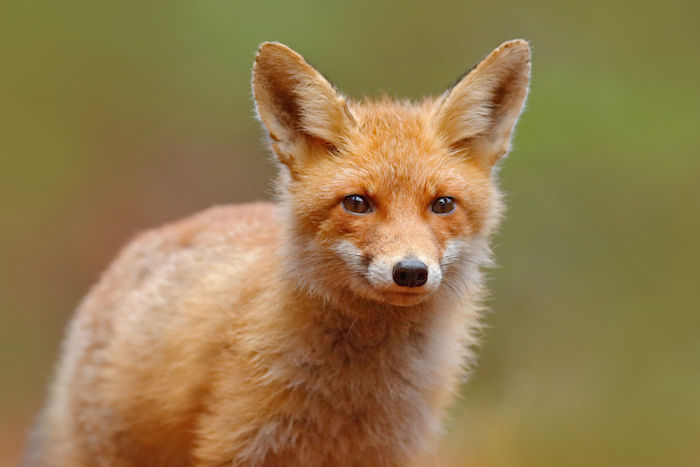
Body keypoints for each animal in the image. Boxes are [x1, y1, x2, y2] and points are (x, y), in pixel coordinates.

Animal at [25, 39, 531, 466]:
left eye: (442, 204)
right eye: (357, 203)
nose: (410, 271)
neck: (356, 393)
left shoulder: (393, 450)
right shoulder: (240, 443)